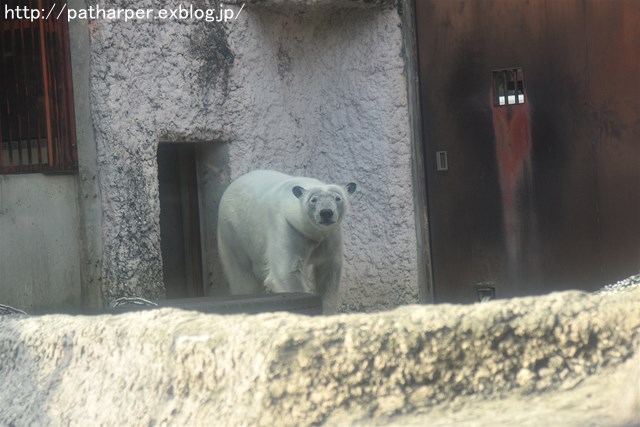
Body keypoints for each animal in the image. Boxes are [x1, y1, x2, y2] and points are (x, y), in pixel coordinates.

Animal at [215, 171, 356, 314]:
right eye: (313, 200)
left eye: (337, 198)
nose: (326, 213)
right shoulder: (288, 228)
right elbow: (287, 273)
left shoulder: (330, 236)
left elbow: (328, 272)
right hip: (234, 232)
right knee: (243, 276)